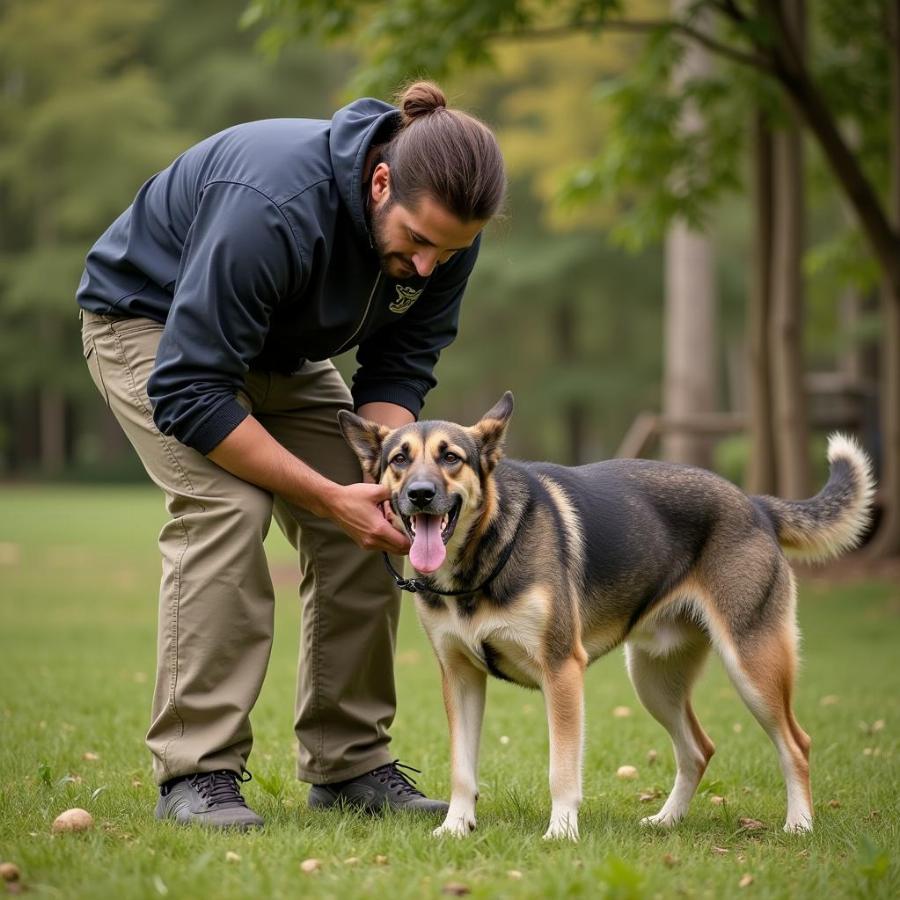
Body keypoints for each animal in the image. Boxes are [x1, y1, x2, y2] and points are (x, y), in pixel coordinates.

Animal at [338, 398, 872, 840]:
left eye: (451, 457)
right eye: (400, 460)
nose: (421, 494)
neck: (482, 557)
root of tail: (756, 505)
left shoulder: (561, 672)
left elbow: (561, 769)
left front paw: (561, 833)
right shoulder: (460, 677)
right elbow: (462, 769)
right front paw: (455, 827)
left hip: (751, 667)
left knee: (796, 744)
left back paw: (799, 824)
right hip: (654, 680)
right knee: (698, 749)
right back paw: (666, 820)